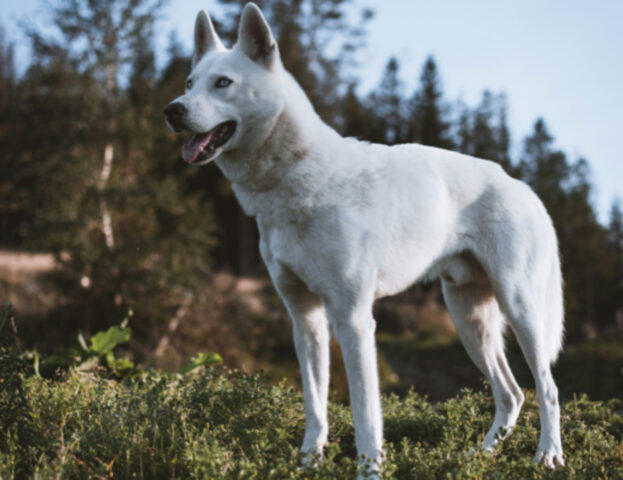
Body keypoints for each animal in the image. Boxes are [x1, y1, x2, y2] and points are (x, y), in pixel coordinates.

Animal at [165, 3, 564, 474]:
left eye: (223, 83)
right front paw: (308, 463)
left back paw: (548, 455)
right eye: (190, 83)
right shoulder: (305, 318)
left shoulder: (354, 319)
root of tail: (522, 187)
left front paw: (370, 470)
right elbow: (316, 406)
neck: (294, 179)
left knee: (547, 389)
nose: (172, 110)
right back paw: (476, 459)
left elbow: (364, 413)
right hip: (470, 320)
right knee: (511, 394)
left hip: (521, 311)